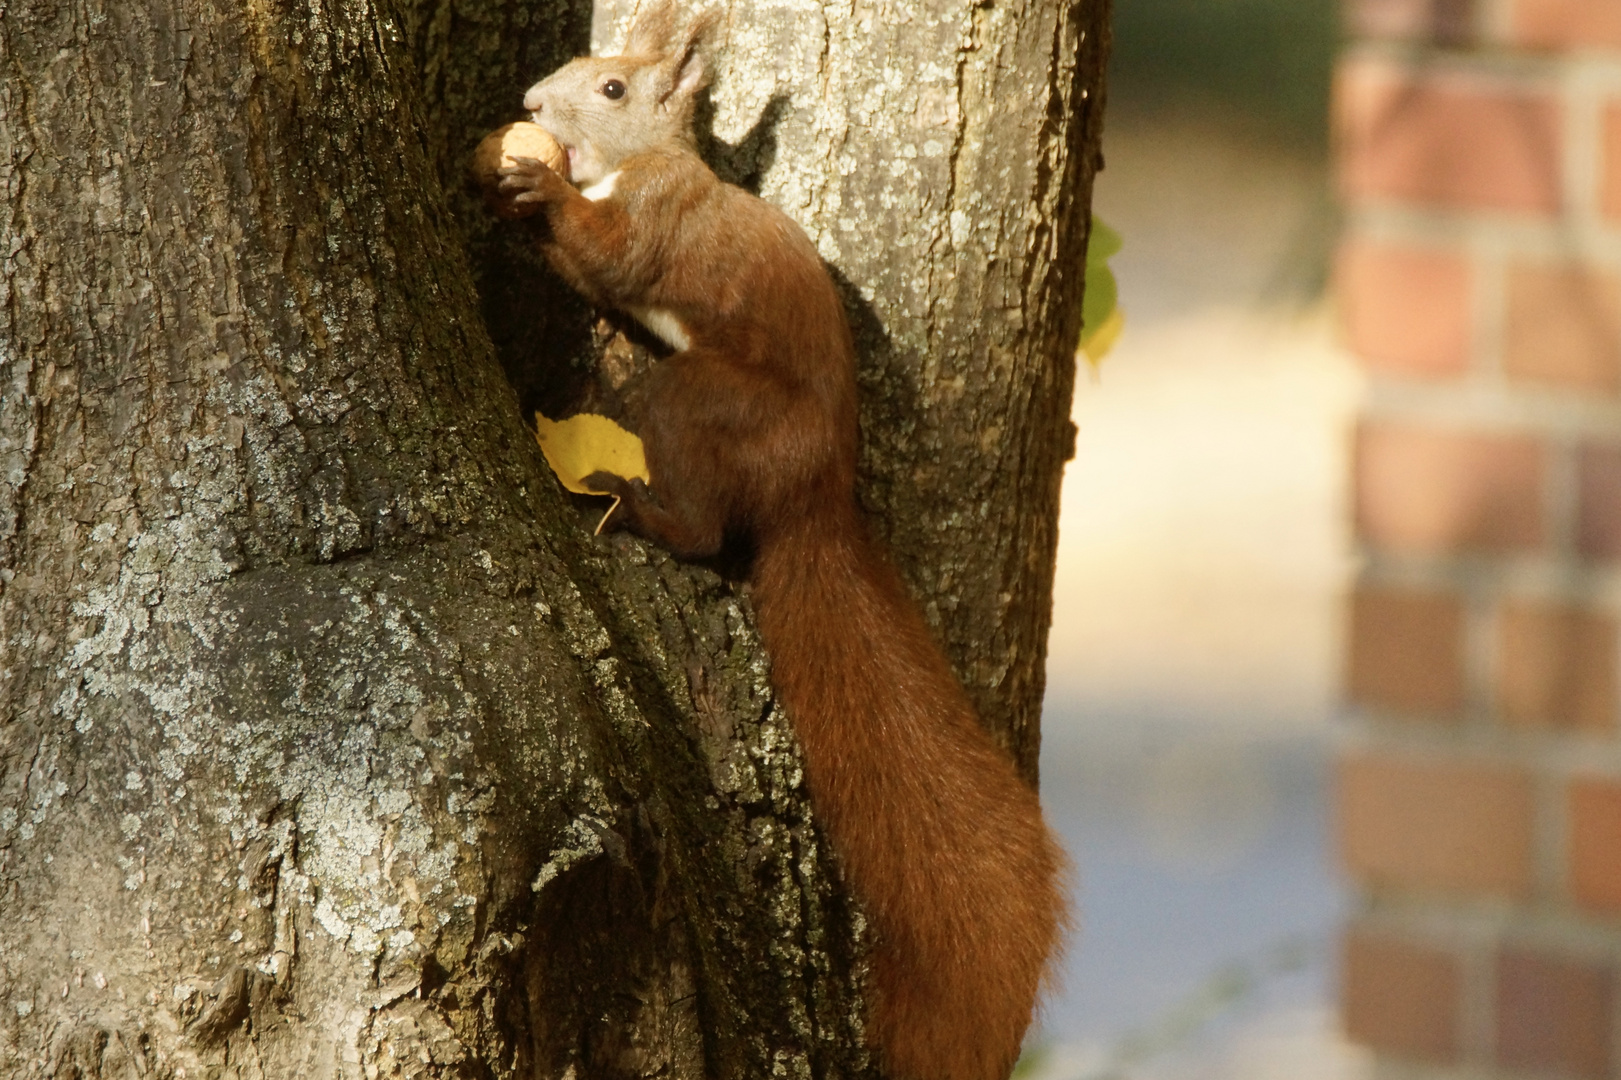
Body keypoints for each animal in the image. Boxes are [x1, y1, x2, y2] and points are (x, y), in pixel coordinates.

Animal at [476, 4, 1063, 1070]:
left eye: (613, 87)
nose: (532, 105)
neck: (631, 162)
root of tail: (811, 496)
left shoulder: (659, 215)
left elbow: (610, 256)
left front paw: (537, 187)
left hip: (705, 403)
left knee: (706, 528)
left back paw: (642, 510)